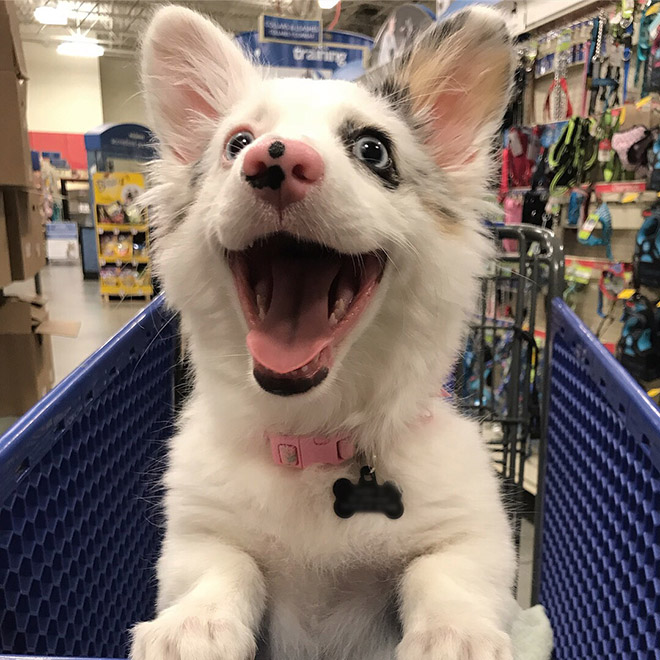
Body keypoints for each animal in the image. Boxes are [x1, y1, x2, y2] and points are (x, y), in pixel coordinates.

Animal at [133, 6, 516, 660]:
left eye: (373, 149)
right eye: (236, 143)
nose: (273, 159)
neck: (312, 437)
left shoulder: (473, 534)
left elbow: (443, 572)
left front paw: (456, 634)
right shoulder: (196, 533)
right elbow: (224, 566)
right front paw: (193, 625)